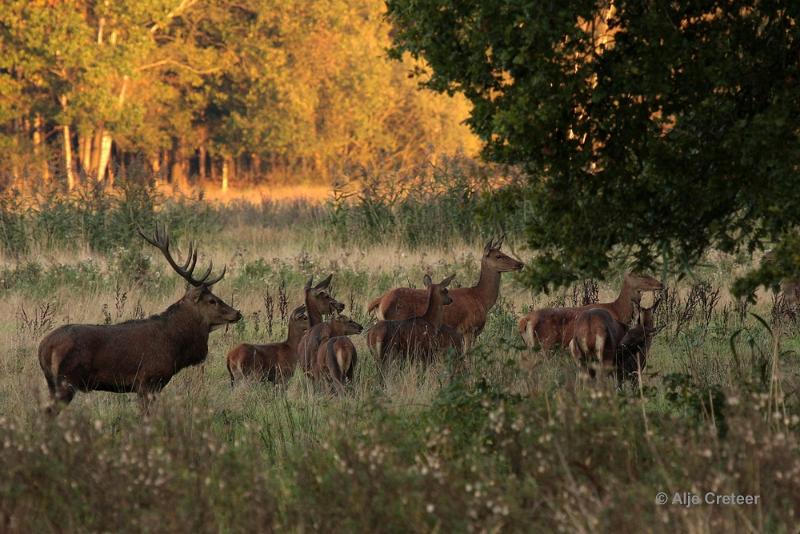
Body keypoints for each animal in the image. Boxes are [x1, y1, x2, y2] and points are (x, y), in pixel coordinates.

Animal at [38, 224, 241, 416]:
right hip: (66, 380)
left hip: (53, 383)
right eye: (212, 300)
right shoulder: (148, 380)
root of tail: (43, 347)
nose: (237, 313)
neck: (176, 346)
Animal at [366, 239, 520, 352]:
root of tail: (380, 301)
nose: (520, 264)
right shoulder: (469, 329)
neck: (481, 298)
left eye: (502, 252)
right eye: (498, 256)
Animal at [520, 274, 664, 354]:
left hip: (531, 345)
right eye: (640, 275)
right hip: (545, 343)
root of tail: (524, 321)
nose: (661, 284)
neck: (617, 310)